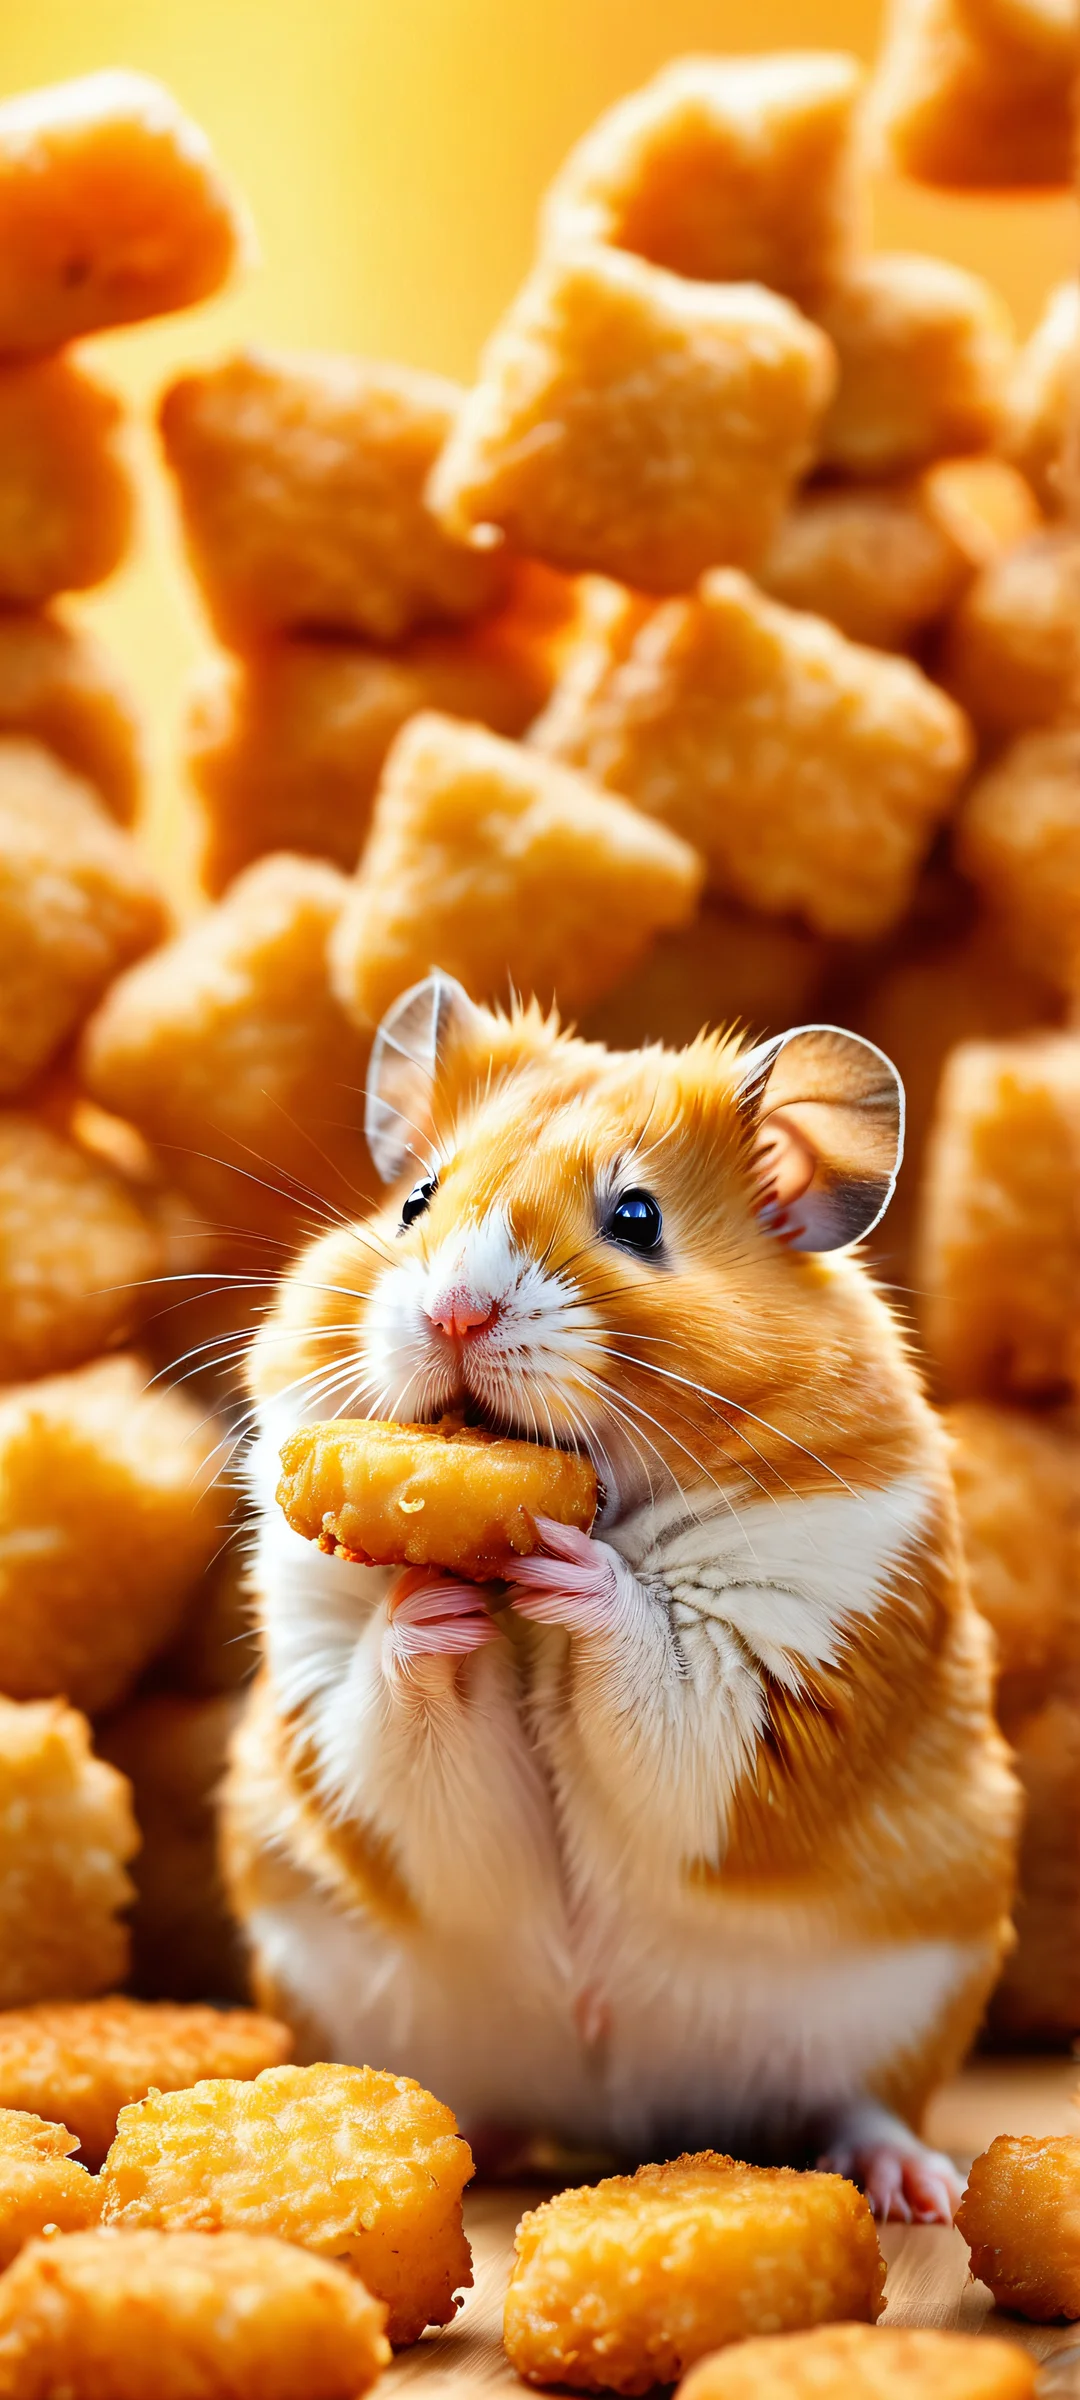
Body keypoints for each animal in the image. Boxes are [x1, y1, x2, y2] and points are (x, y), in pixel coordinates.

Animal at [224, 970, 1018, 2220]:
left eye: (638, 1220)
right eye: (415, 1202)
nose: (453, 1311)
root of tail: (614, 2116)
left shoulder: (777, 1660)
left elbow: (666, 1674)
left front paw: (568, 1569)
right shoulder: (323, 1684)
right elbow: (387, 1713)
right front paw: (428, 1602)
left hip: (903, 2009)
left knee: (856, 2105)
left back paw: (915, 2188)